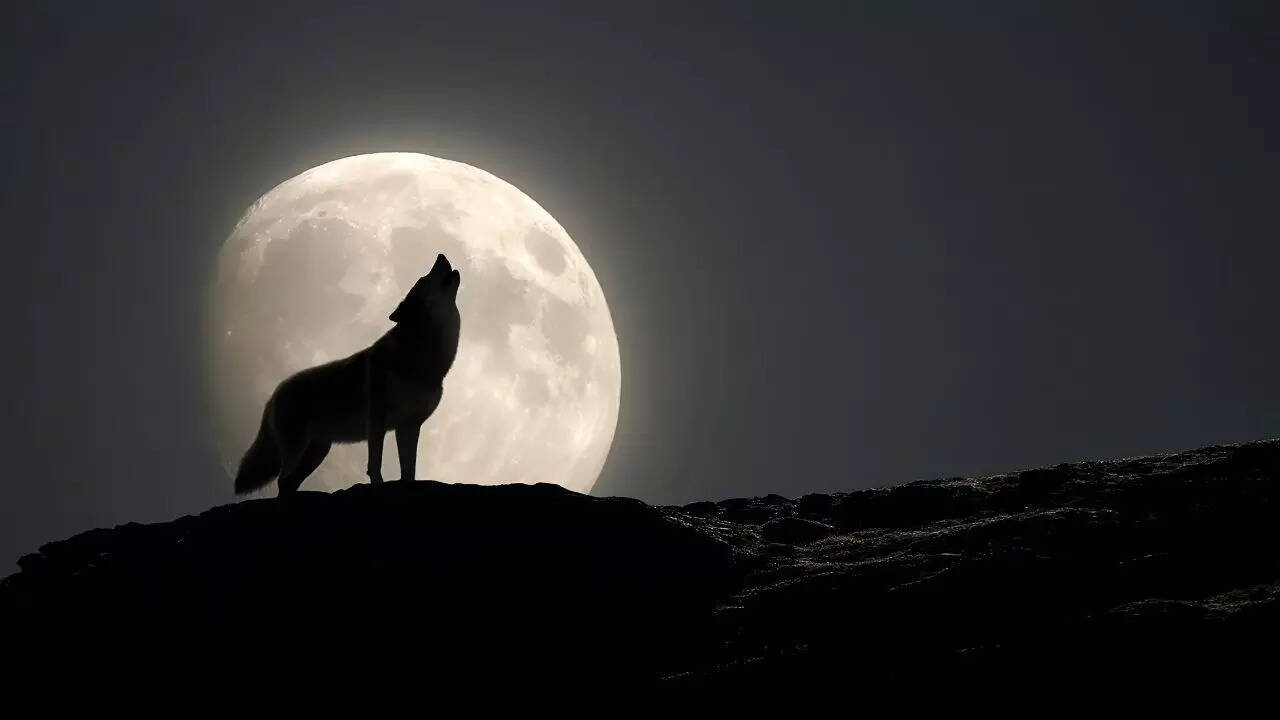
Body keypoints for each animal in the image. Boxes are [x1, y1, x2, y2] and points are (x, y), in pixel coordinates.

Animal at [234, 253, 462, 497]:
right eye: (422, 279)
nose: (441, 255)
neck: (420, 354)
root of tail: (274, 394)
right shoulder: (377, 421)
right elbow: (375, 465)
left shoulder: (409, 426)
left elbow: (409, 470)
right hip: (298, 449)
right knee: (283, 481)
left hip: (317, 452)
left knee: (290, 482)